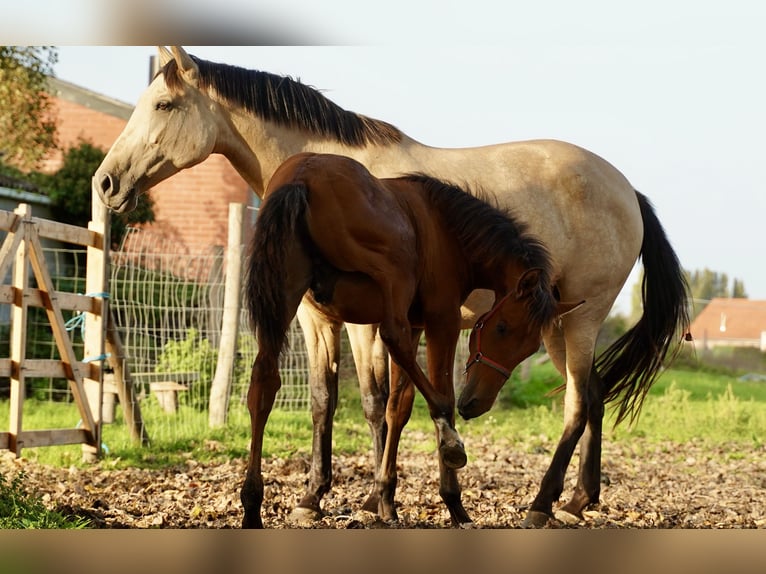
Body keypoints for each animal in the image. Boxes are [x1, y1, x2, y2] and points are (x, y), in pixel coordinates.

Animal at [93, 47, 692, 528]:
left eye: (162, 106)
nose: (105, 182)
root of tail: (629, 191)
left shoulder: (374, 322)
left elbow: (380, 402)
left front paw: (382, 497)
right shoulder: (318, 316)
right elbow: (327, 399)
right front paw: (318, 497)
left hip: (579, 319)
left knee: (578, 402)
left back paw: (544, 503)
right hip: (555, 322)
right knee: (593, 397)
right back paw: (578, 499)